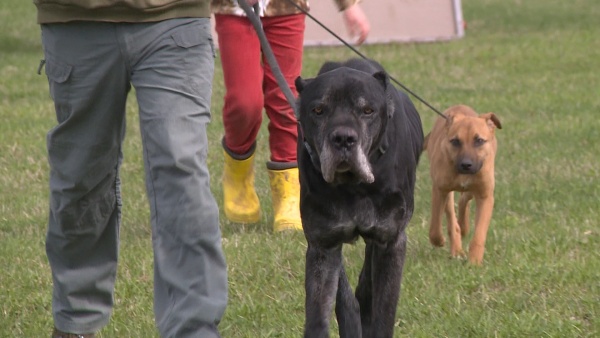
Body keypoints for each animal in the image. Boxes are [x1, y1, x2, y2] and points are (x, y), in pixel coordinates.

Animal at [296, 59, 422, 336]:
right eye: (318, 110)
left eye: (367, 110)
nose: (343, 139)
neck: (352, 186)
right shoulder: (322, 244)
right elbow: (320, 313)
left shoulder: (390, 240)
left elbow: (383, 312)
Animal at [422, 105, 502, 264]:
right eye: (455, 141)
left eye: (479, 140)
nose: (466, 165)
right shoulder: (440, 190)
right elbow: (435, 226)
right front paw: (439, 240)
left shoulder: (485, 196)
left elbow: (479, 234)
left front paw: (474, 261)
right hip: (447, 191)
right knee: (452, 218)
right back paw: (457, 248)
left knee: (465, 199)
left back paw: (464, 227)